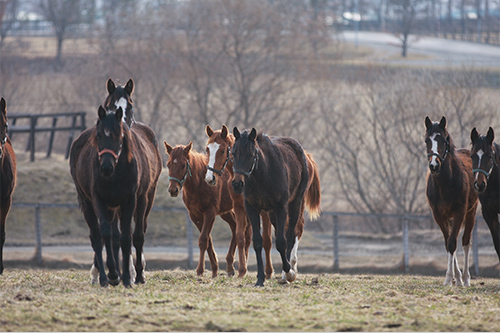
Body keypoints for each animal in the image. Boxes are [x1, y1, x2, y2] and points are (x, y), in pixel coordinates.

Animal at [68, 105, 161, 286]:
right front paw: (112, 274)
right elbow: (106, 234)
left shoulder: (132, 200)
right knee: (97, 238)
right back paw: (105, 277)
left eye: (119, 136)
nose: (106, 167)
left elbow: (129, 237)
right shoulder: (99, 200)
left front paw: (131, 276)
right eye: (98, 135)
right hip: (88, 202)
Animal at [161, 140, 237, 278]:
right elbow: (208, 240)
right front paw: (214, 270)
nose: (173, 190)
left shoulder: (210, 213)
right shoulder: (194, 215)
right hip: (226, 212)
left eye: (183, 165)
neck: (200, 183)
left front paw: (200, 270)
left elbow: (203, 240)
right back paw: (230, 267)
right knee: (235, 227)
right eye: (168, 164)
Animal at [203, 124, 274, 278]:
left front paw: (267, 271)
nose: (210, 178)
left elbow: (266, 240)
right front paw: (242, 270)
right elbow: (240, 237)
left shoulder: (263, 211)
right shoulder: (239, 207)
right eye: (207, 149)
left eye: (223, 150)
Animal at [230, 127, 320, 286]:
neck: (262, 175)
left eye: (251, 155)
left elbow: (281, 242)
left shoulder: (281, 207)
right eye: (233, 153)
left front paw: (289, 272)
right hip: (271, 214)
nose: (237, 184)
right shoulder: (252, 208)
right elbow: (258, 242)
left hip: (295, 204)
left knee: (291, 234)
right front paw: (260, 278)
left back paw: (288, 272)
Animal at [424, 116, 478, 286]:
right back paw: (459, 277)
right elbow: (448, 243)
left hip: (471, 212)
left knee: (466, 242)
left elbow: (454, 242)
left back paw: (465, 278)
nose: (434, 165)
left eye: (443, 140)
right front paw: (451, 277)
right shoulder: (439, 215)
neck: (445, 183)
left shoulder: (460, 212)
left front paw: (451, 278)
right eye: (426, 140)